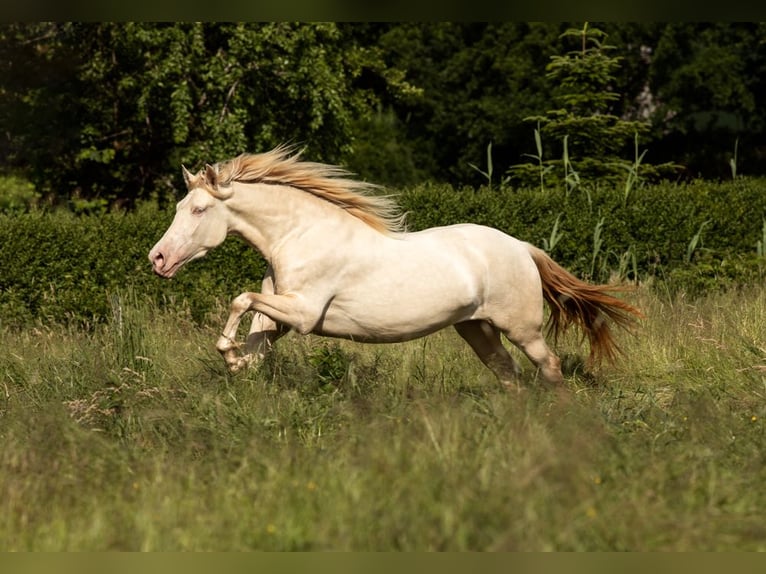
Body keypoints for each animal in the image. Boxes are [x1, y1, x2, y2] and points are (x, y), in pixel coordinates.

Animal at [148, 146, 640, 394]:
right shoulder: (280, 315)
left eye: (197, 210)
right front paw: (237, 362)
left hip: (521, 328)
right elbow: (254, 332)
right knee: (508, 374)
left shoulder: (303, 313)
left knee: (549, 367)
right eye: (179, 207)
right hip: (476, 328)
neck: (299, 235)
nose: (157, 259)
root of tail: (521, 246)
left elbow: (240, 298)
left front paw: (229, 355)